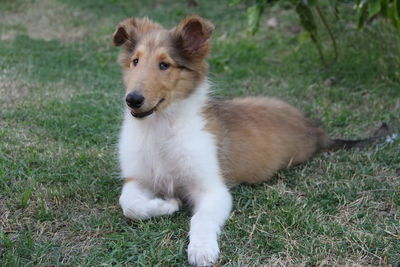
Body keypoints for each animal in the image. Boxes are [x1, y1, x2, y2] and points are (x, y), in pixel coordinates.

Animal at [111, 15, 386, 266]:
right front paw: (167, 205)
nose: (132, 99)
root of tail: (317, 132)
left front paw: (202, 249)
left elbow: (201, 218)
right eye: (135, 61)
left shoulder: (213, 189)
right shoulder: (137, 178)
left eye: (164, 65)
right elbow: (130, 205)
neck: (160, 128)